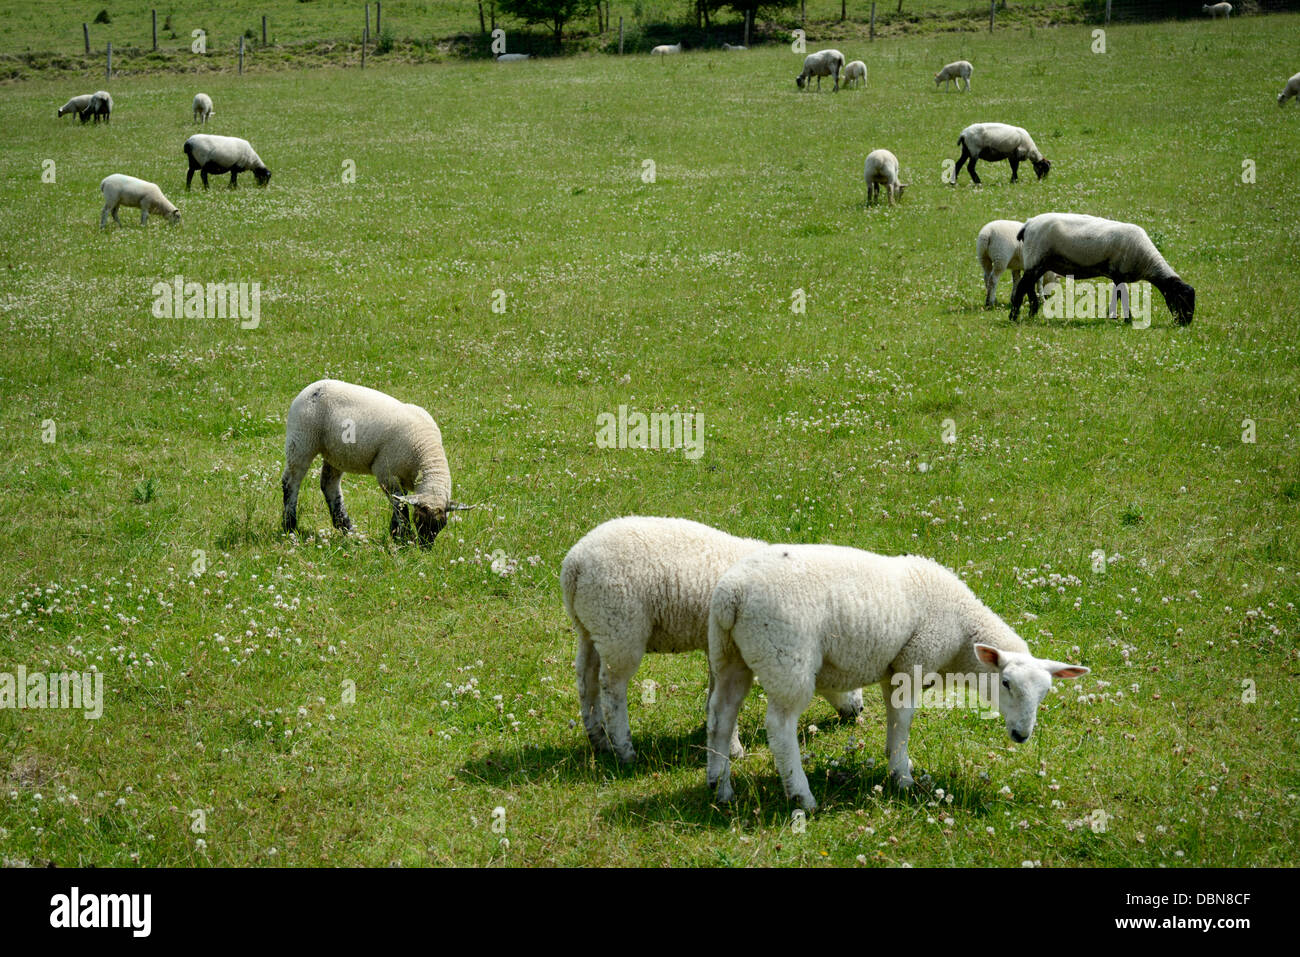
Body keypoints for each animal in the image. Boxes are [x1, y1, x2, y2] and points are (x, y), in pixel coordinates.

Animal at [281, 379, 471, 547]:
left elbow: (399, 503)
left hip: (335, 453)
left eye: (442, 525)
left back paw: (347, 528)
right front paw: (403, 536)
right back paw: (289, 526)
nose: (426, 548)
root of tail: (313, 386)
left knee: (329, 484)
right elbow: (400, 507)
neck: (425, 455)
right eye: (418, 520)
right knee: (291, 481)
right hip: (302, 440)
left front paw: (396, 534)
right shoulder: (386, 473)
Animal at [561, 517, 863, 765]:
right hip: (619, 626)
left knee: (586, 680)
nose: (859, 710)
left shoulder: (715, 646)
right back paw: (624, 750)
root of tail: (574, 566)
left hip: (591, 627)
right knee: (612, 688)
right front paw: (734, 750)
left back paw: (598, 740)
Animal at [705, 545, 1089, 811]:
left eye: (1044, 694)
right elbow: (904, 719)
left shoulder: (894, 668)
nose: (1022, 735)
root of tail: (731, 594)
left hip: (729, 654)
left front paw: (895, 759)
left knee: (720, 716)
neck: (962, 634)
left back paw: (720, 787)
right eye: (1006, 683)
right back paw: (802, 796)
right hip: (786, 659)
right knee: (780, 727)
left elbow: (894, 718)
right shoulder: (913, 661)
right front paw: (902, 776)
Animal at [1009, 213, 1195, 326]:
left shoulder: (1117, 275)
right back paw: (1013, 316)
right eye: (1181, 299)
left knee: (1028, 285)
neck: (1147, 261)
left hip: (1040, 263)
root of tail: (1028, 224)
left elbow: (1117, 295)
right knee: (1022, 286)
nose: (1185, 323)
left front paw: (1112, 316)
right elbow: (1123, 296)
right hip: (1035, 258)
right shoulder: (1120, 273)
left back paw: (1032, 312)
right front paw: (1128, 320)